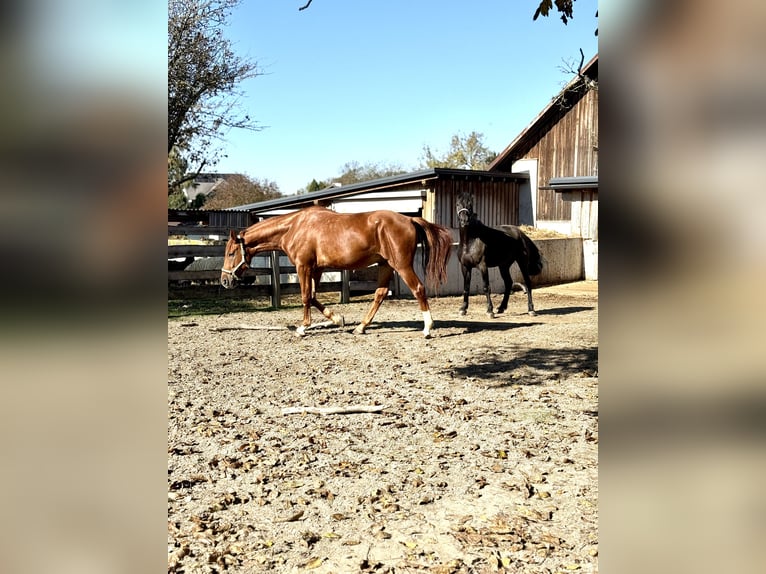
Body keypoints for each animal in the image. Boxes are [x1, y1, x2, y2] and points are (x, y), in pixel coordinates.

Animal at [220, 205, 453, 337]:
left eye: (231, 253)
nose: (224, 281)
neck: (295, 227)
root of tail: (410, 219)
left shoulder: (303, 267)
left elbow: (305, 296)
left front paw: (303, 328)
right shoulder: (317, 268)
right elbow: (313, 297)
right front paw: (337, 319)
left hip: (401, 265)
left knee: (418, 288)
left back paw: (427, 328)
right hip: (385, 265)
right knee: (379, 294)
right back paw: (360, 327)